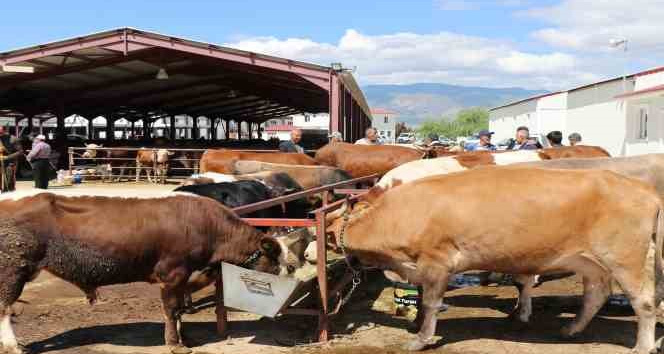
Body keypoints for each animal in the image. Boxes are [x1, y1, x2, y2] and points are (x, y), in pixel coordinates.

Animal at [324, 167, 660, 354]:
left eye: (325, 238)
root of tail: (642, 188)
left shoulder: (436, 261)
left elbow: (431, 303)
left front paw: (421, 339)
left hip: (625, 256)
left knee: (644, 301)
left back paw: (643, 346)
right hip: (589, 261)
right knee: (597, 293)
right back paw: (572, 329)